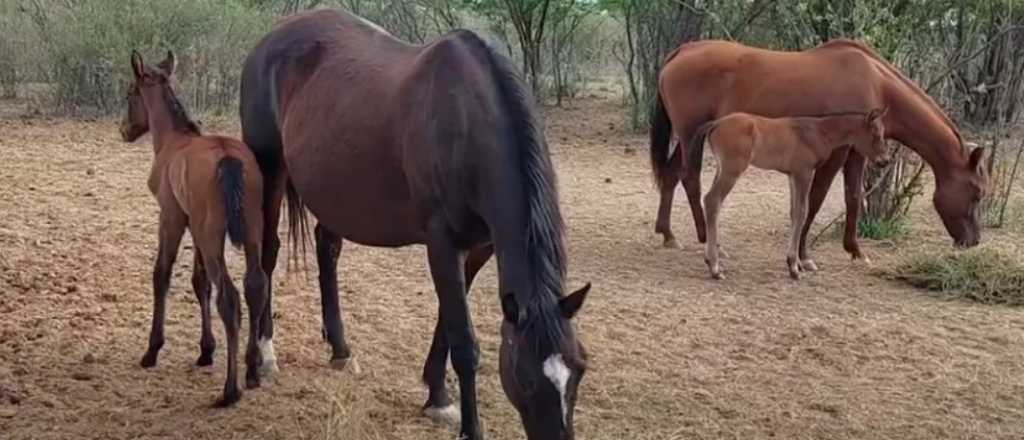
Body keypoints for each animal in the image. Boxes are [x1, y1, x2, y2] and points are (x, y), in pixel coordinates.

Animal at [120, 50, 269, 407]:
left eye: (130, 93)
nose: (124, 130)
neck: (175, 142)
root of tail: (229, 159)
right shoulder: (194, 226)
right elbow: (199, 282)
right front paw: (205, 351)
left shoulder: (172, 217)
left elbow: (162, 273)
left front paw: (152, 350)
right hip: (248, 230)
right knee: (255, 285)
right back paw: (252, 372)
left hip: (212, 235)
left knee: (229, 297)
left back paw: (229, 391)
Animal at [239, 10, 590, 440]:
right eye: (524, 379)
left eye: (579, 370)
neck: (466, 125)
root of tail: (270, 39)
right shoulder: (441, 243)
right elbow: (464, 341)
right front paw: (468, 425)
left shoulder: (478, 247)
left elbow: (447, 325)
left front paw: (437, 395)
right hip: (270, 170)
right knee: (267, 256)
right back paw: (265, 354)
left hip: (333, 188)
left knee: (327, 247)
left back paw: (340, 350)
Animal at [692, 109, 889, 280]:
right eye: (875, 134)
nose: (884, 161)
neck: (818, 131)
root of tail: (716, 123)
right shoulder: (804, 173)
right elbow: (802, 212)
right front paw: (794, 267)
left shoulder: (792, 175)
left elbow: (794, 213)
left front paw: (795, 263)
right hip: (732, 170)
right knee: (712, 200)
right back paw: (715, 267)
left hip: (722, 169)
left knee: (710, 201)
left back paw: (711, 260)